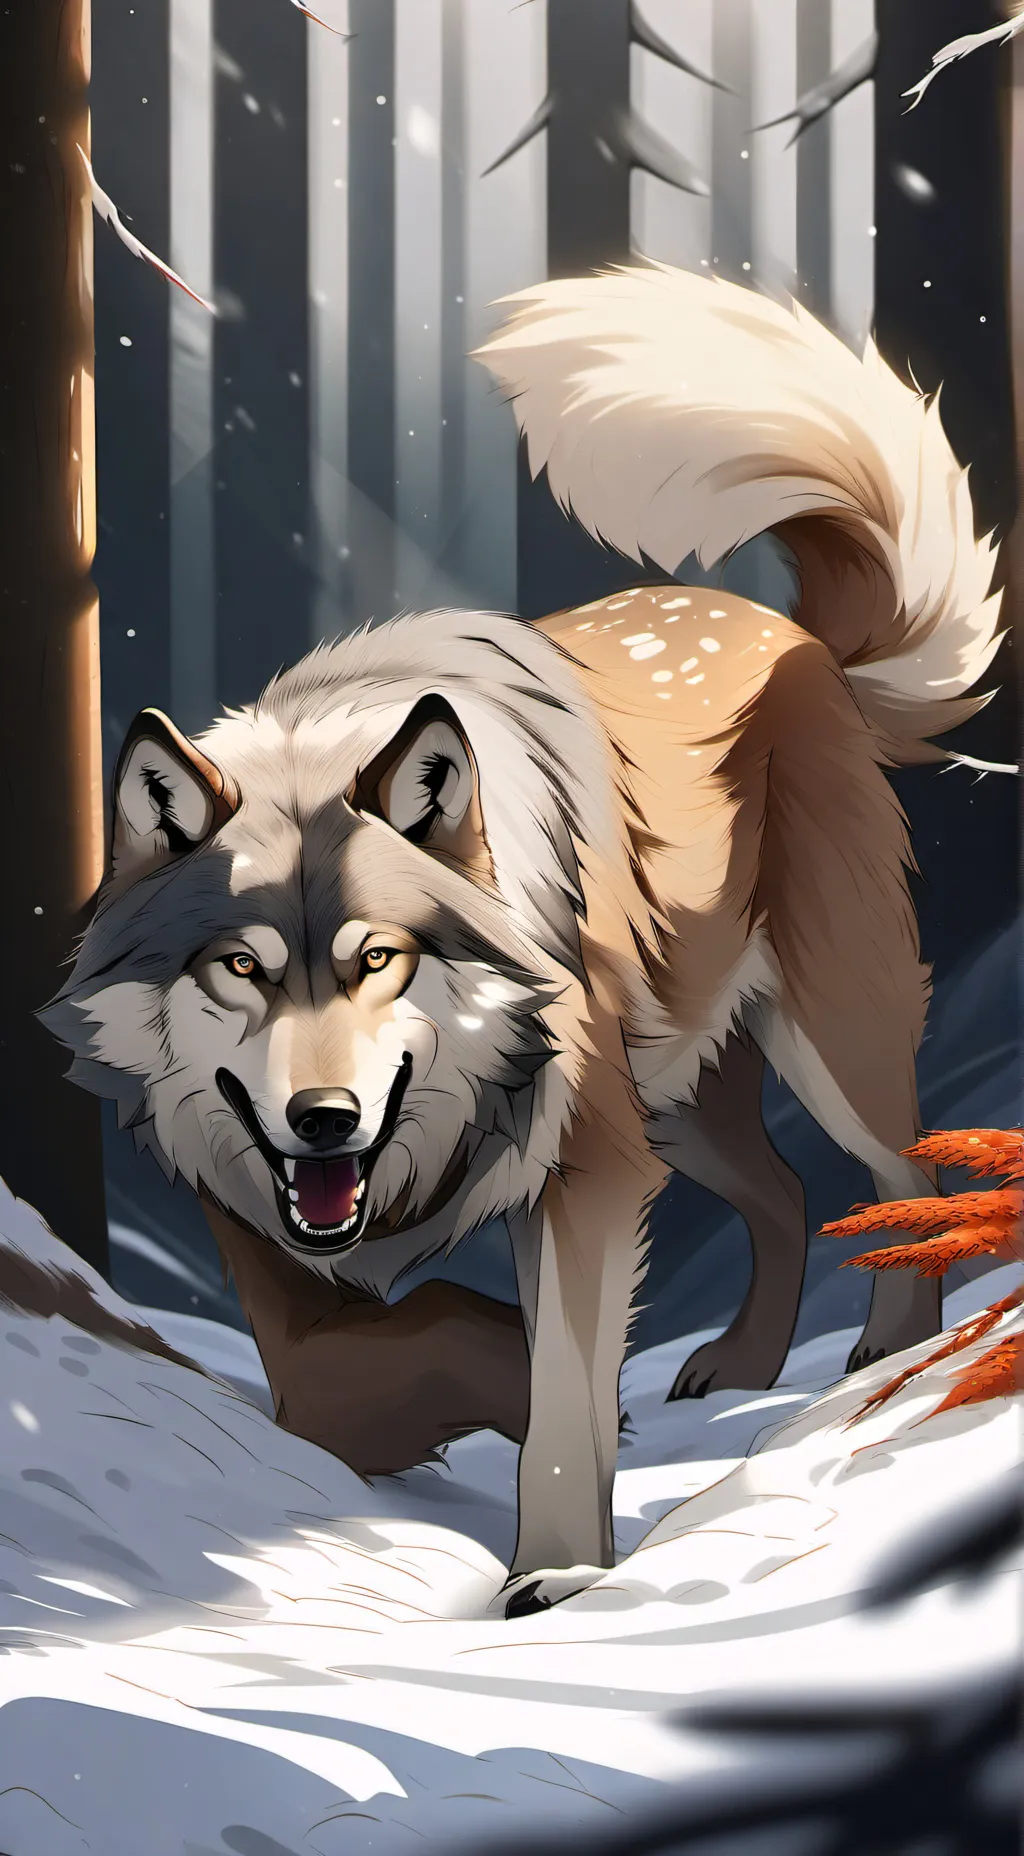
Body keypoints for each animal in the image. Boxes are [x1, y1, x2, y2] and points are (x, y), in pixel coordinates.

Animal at [44, 265, 1007, 1610]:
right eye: (240, 967)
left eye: (378, 958)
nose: (324, 1120)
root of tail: (804, 642)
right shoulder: (249, 1192)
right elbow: (336, 1371)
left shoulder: (582, 1174)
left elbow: (559, 1399)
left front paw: (556, 1569)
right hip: (680, 1105)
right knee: (784, 1190)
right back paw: (743, 1366)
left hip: (815, 1051)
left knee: (904, 1178)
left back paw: (883, 1372)